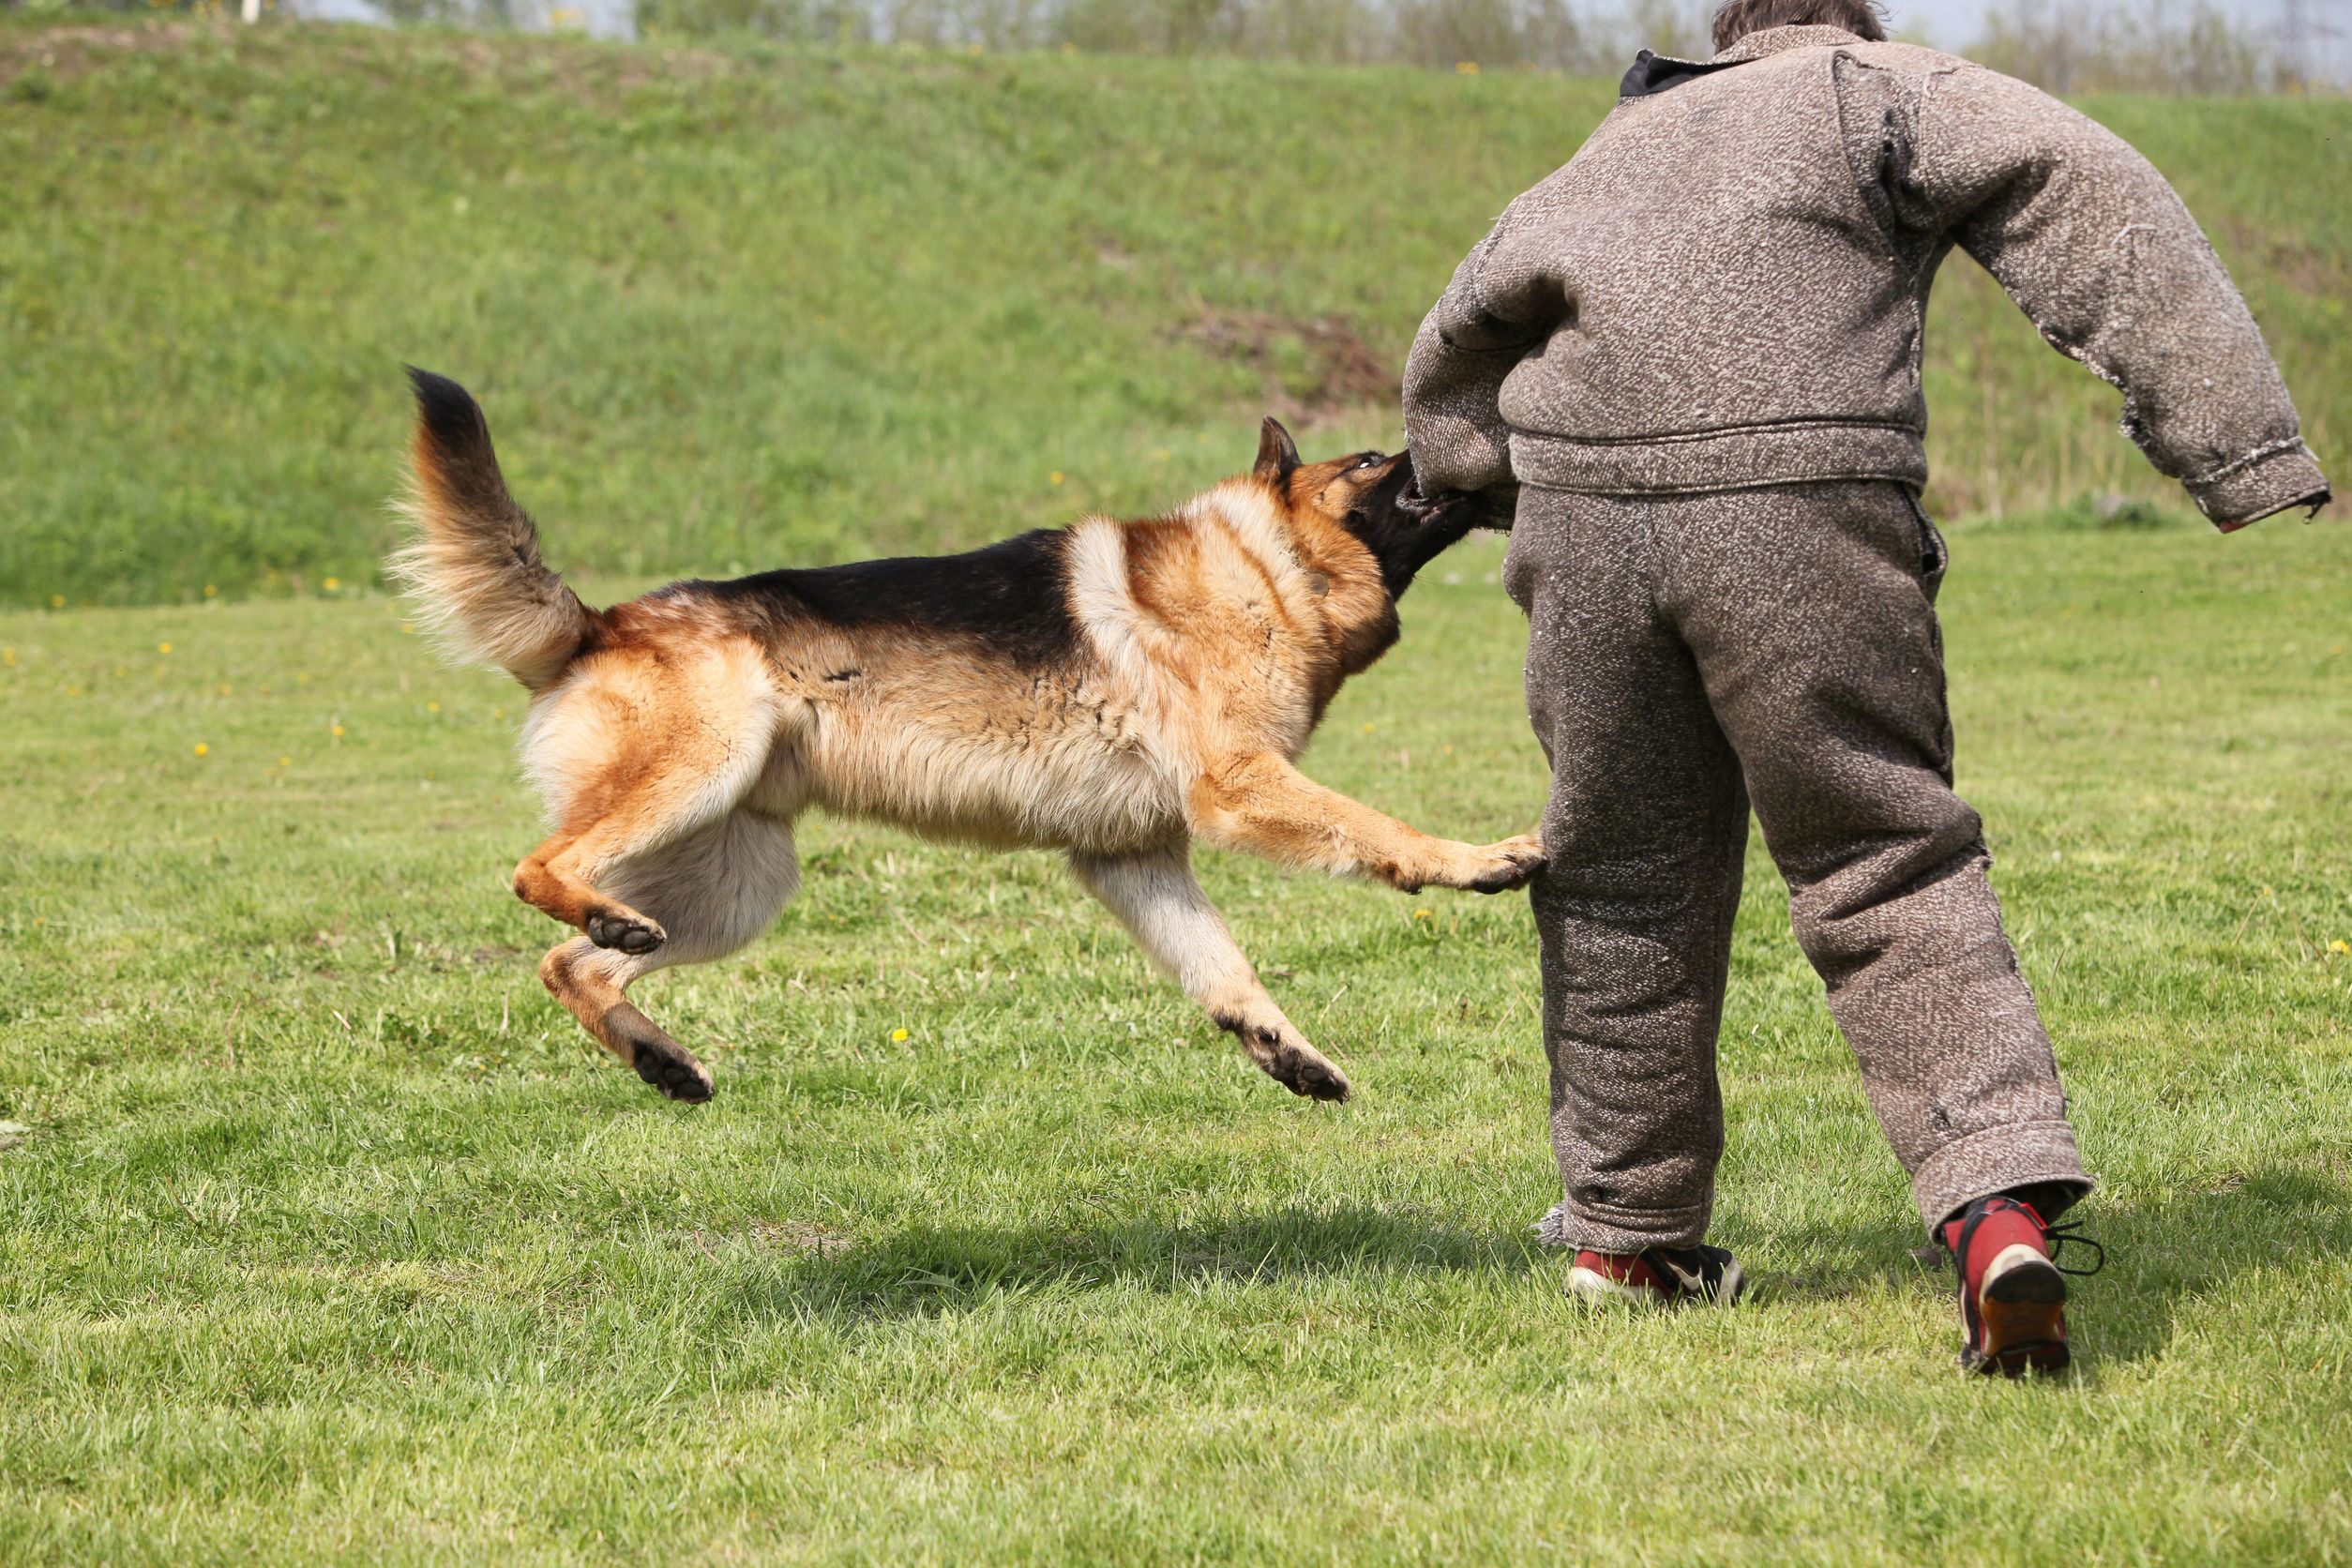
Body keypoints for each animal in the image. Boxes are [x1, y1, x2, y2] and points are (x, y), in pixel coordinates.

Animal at [395, 371, 1543, 1105]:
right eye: (1374, 459)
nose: (1492, 431)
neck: (1261, 571)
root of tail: (598, 625)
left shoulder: (1134, 857)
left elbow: (1227, 975)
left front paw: (1287, 1053)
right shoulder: (1240, 788)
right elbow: (1383, 830)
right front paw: (1482, 858)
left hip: (737, 884)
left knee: (569, 967)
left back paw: (659, 1056)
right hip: (695, 778)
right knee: (536, 873)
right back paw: (603, 923)